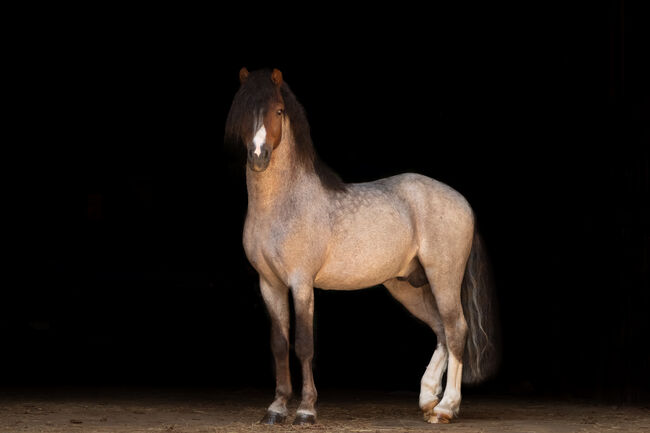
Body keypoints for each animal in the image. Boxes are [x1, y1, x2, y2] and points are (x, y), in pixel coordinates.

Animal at [223, 68, 496, 426]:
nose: (258, 157)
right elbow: (279, 345)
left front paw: (306, 410)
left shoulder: (301, 284)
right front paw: (277, 408)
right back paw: (427, 399)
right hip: (407, 286)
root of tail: (462, 201)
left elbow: (303, 344)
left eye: (279, 111)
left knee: (456, 330)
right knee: (440, 331)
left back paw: (446, 407)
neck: (283, 205)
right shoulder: (269, 284)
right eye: (243, 110)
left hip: (444, 278)